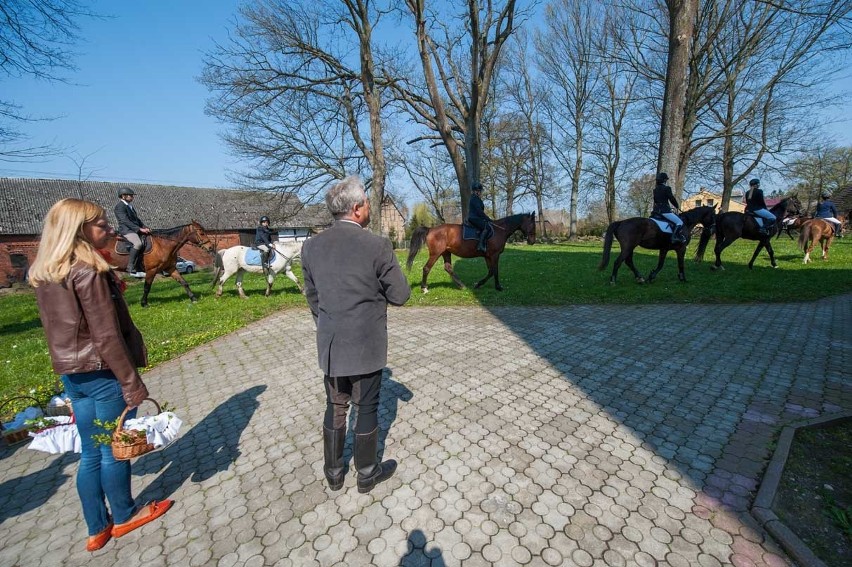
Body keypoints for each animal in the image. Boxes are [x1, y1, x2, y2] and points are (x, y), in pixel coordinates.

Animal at [404, 213, 536, 292]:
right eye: (533, 224)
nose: (532, 241)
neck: (499, 230)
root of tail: (431, 229)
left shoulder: (488, 256)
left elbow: (491, 271)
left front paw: (479, 284)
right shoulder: (494, 255)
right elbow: (495, 271)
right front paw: (498, 287)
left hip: (446, 252)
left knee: (448, 267)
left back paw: (461, 285)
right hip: (435, 254)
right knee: (426, 268)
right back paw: (424, 289)